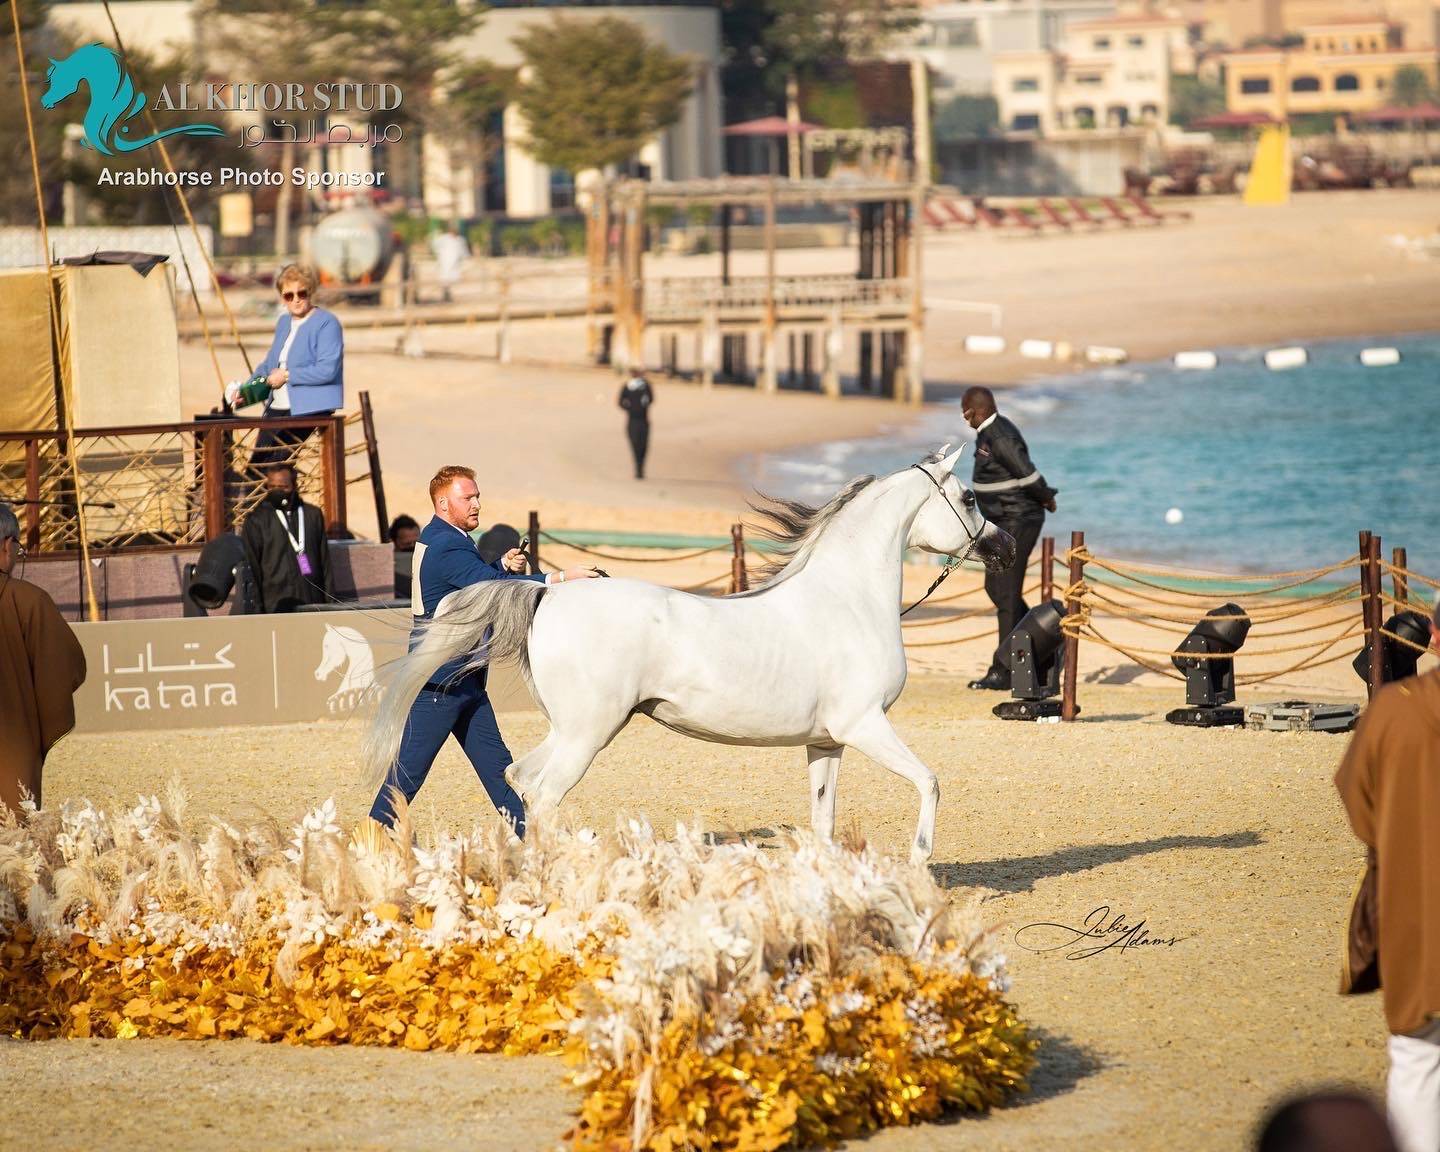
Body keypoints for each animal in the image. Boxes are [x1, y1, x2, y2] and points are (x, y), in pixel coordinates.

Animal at [364, 446, 1015, 864]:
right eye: (968, 496)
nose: (1006, 547)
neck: (846, 599)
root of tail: (546, 593)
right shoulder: (864, 725)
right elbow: (929, 782)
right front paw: (920, 860)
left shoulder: (827, 742)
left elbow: (824, 820)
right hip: (589, 733)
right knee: (543, 796)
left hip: (572, 728)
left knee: (516, 780)